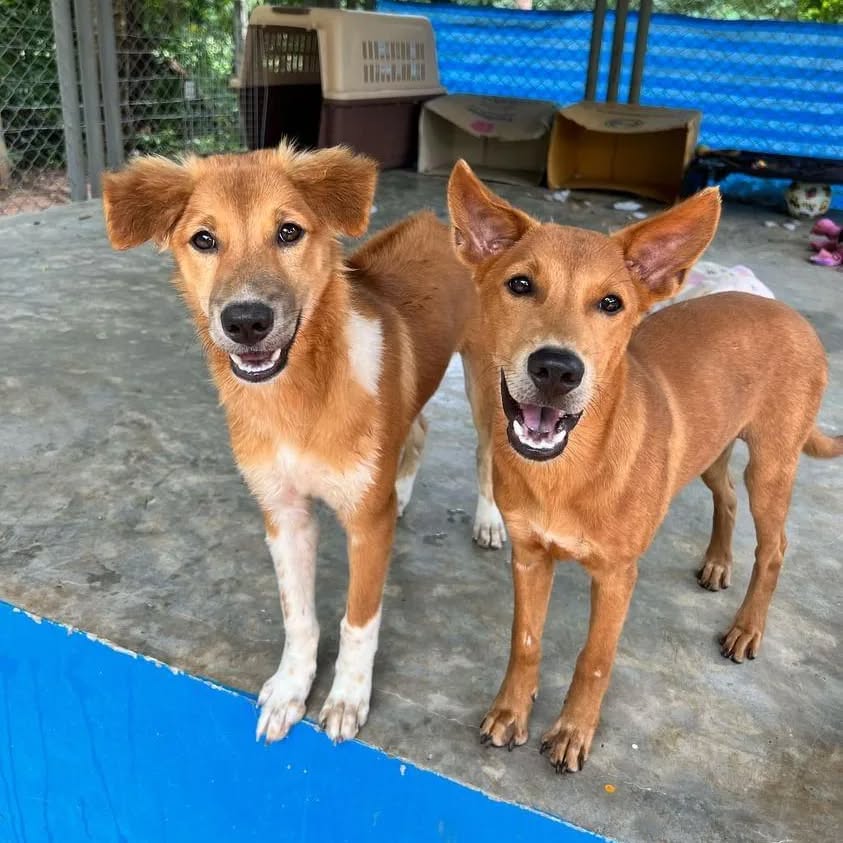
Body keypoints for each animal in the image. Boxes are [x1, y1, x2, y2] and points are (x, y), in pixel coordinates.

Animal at [446, 158, 840, 772]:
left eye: (611, 303)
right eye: (520, 285)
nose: (556, 369)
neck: (568, 471)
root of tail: (785, 310)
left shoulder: (616, 576)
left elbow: (594, 658)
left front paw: (573, 732)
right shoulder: (530, 557)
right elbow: (525, 641)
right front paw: (511, 711)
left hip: (772, 466)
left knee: (774, 547)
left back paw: (747, 629)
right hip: (709, 447)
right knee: (726, 496)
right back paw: (717, 563)